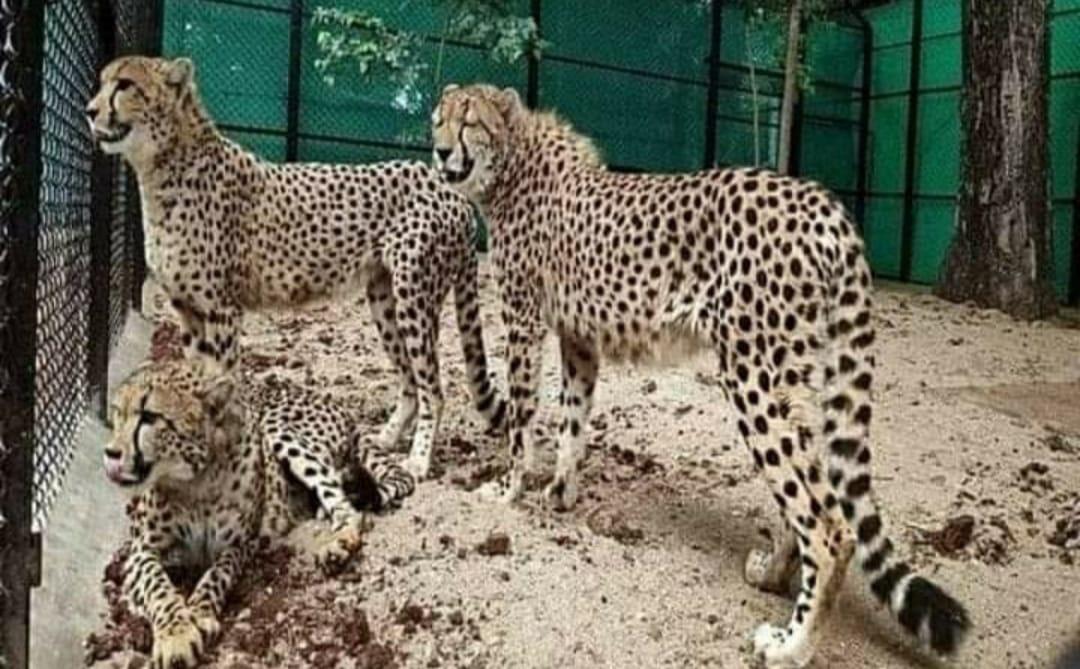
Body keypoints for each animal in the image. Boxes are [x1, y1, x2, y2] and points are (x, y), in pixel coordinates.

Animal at [86, 56, 506, 480]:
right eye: (103, 82)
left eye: (125, 85)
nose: (90, 110)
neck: (162, 168)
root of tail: (452, 191)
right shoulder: (187, 309)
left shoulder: (221, 309)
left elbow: (223, 377)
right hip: (384, 301)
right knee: (410, 380)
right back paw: (385, 439)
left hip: (414, 299)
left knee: (432, 387)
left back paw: (418, 459)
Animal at [104, 358, 415, 668]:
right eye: (117, 413)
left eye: (149, 416)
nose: (111, 452)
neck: (195, 481)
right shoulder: (140, 551)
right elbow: (157, 586)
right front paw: (176, 634)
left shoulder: (241, 543)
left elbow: (217, 574)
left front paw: (200, 615)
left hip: (279, 430)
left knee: (341, 499)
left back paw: (337, 543)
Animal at [431, 83, 970, 668]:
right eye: (438, 119)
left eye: (469, 122)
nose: (439, 151)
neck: (511, 166)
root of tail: (823, 202)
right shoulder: (580, 339)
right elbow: (573, 420)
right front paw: (560, 493)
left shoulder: (524, 323)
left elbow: (522, 417)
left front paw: (508, 489)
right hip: (793, 376)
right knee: (810, 496)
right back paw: (773, 575)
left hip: (750, 375)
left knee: (831, 528)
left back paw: (791, 644)